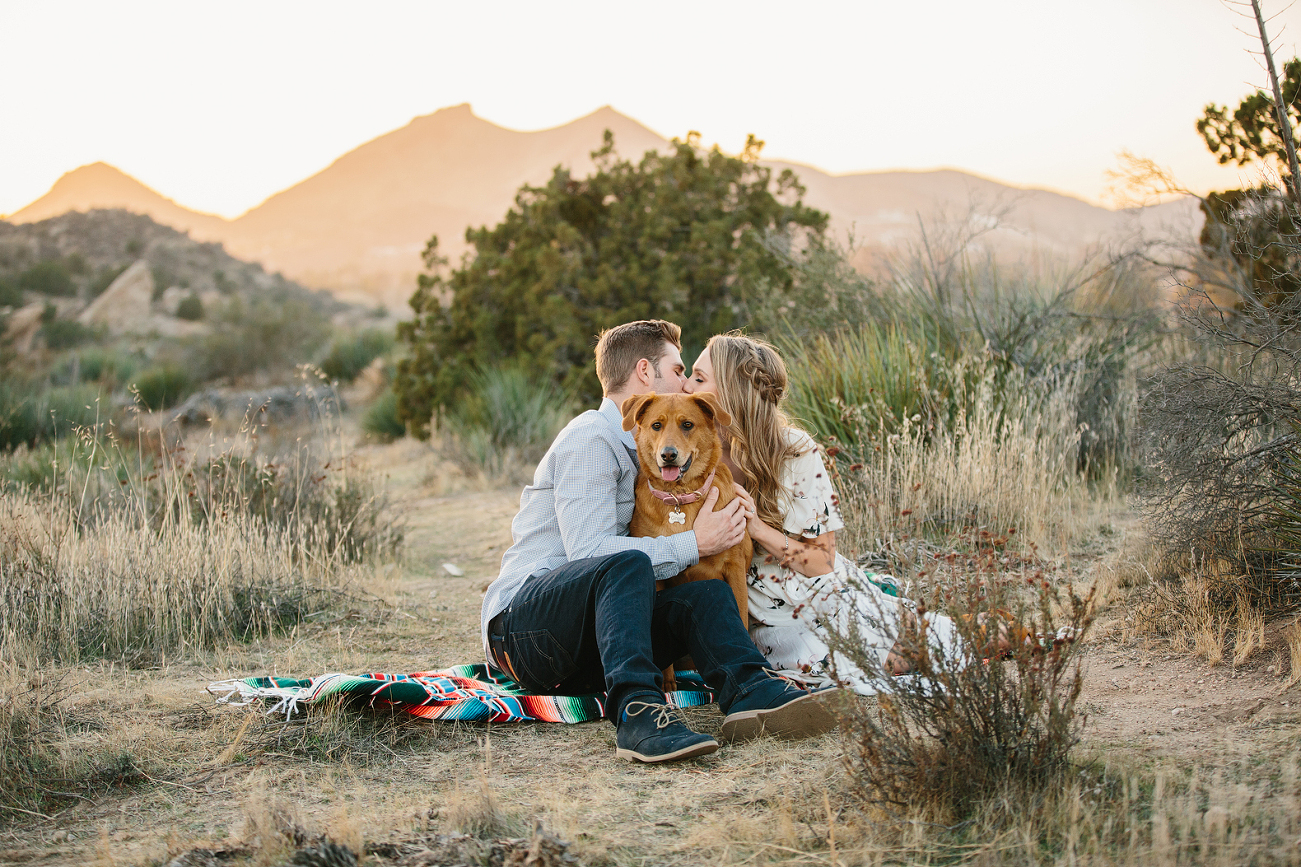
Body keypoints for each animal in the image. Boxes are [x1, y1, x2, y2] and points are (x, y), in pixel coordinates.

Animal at [619, 390, 754, 627]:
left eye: (687, 424)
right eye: (656, 425)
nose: (668, 455)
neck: (679, 496)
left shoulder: (734, 567)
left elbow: (742, 617)